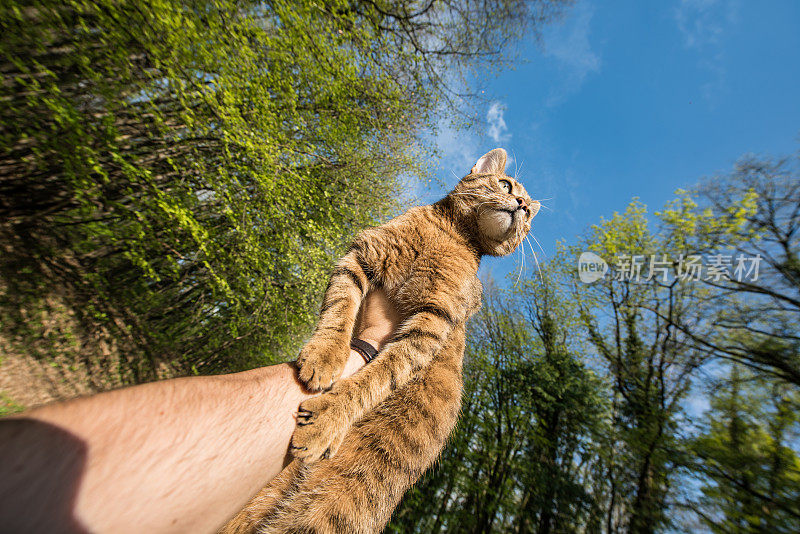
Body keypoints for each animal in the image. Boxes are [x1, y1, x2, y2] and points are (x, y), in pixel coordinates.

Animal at [222, 148, 540, 534]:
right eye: (506, 185)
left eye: (528, 213)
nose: (522, 204)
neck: (453, 234)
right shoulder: (363, 253)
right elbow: (340, 309)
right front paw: (327, 354)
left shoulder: (433, 322)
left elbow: (377, 377)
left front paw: (330, 417)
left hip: (324, 515)